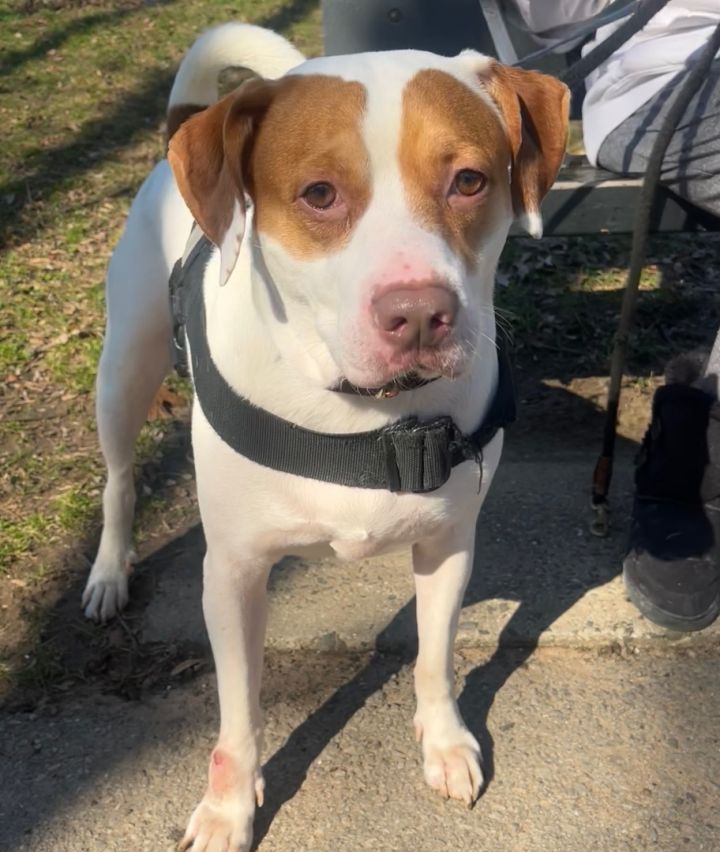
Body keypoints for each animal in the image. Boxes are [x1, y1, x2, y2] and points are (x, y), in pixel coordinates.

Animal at [83, 21, 568, 852]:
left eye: (470, 181)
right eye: (319, 194)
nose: (419, 314)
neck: (363, 415)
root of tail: (183, 130)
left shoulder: (449, 543)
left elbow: (435, 656)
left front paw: (445, 741)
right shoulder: (235, 574)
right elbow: (238, 715)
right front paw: (228, 806)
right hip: (125, 370)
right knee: (118, 478)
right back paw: (109, 571)